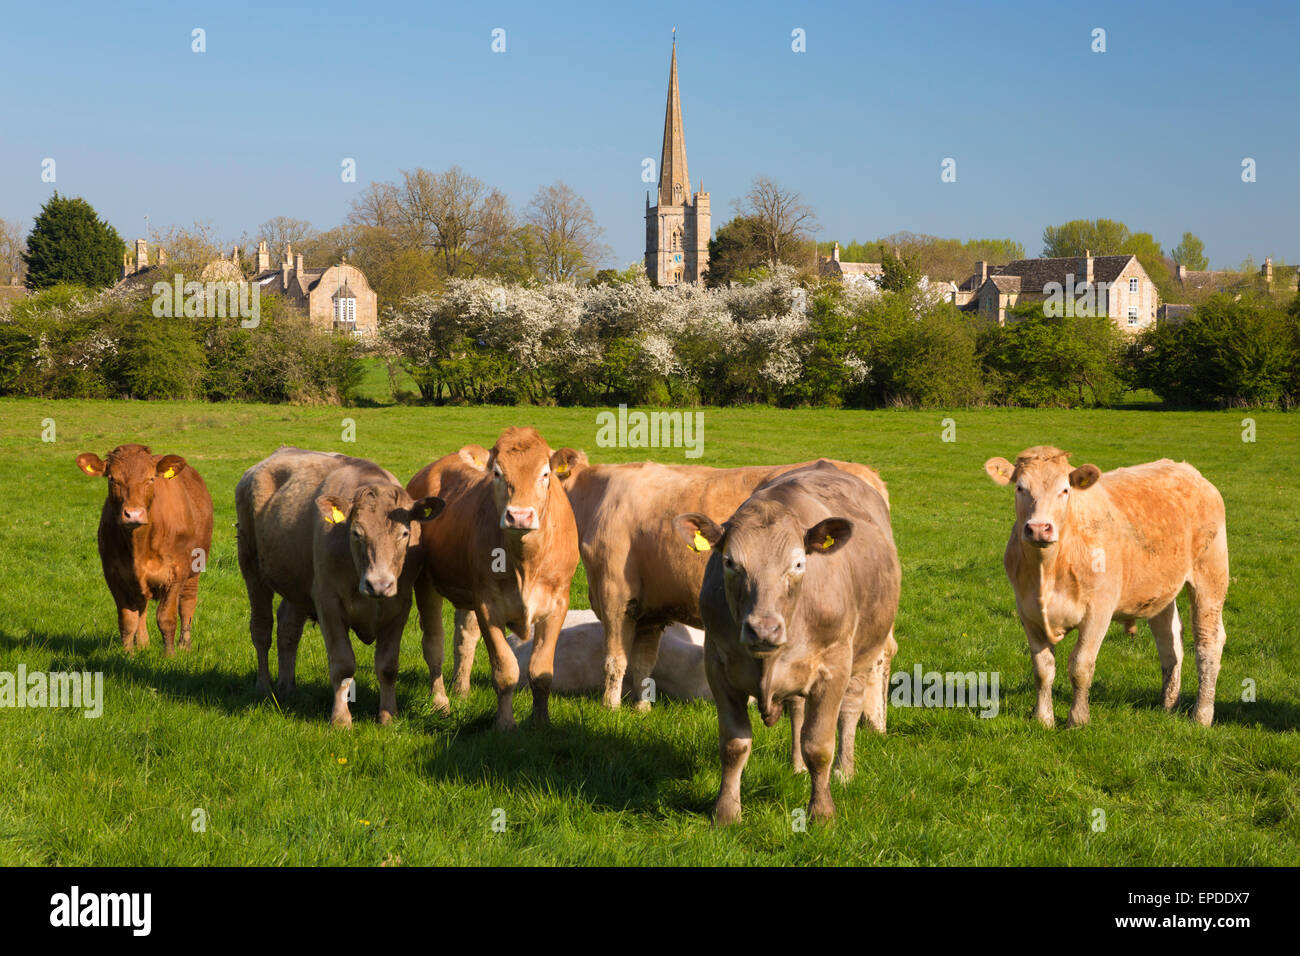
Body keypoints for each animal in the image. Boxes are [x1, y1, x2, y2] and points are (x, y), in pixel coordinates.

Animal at [76, 442, 213, 655]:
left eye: (150, 479)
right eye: (112, 478)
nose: (133, 514)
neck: (139, 546)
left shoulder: (177, 571)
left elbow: (166, 618)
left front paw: (169, 655)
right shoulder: (114, 574)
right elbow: (127, 619)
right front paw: (128, 654)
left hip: (196, 566)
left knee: (187, 603)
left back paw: (184, 645)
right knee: (142, 606)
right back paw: (142, 643)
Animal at [239, 447, 447, 723]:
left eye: (404, 534)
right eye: (357, 533)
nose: (378, 584)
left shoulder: (399, 606)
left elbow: (388, 666)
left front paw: (388, 715)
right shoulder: (328, 602)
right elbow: (343, 664)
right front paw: (340, 719)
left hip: (297, 583)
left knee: (288, 628)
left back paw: (287, 687)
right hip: (251, 565)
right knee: (261, 629)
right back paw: (264, 686)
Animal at [405, 429, 579, 733]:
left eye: (545, 473)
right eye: (497, 473)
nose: (519, 516)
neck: (526, 563)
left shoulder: (558, 603)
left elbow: (541, 670)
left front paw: (541, 721)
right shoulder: (488, 604)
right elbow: (505, 670)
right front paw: (505, 724)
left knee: (464, 636)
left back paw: (461, 691)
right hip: (425, 581)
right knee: (434, 643)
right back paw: (440, 702)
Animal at [676, 463, 899, 822]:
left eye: (797, 564)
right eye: (730, 562)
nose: (763, 630)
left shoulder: (833, 667)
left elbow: (818, 746)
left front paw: (822, 813)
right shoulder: (718, 664)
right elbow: (734, 745)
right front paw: (727, 812)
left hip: (865, 653)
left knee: (850, 712)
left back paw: (844, 771)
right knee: (796, 710)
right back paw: (796, 767)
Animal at [982, 447, 1227, 723]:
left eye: (1064, 489)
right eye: (1020, 488)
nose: (1038, 528)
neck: (1048, 569)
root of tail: (1187, 470)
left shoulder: (1098, 611)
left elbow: (1080, 665)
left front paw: (1078, 719)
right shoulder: (1028, 613)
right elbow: (1042, 669)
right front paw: (1043, 719)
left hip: (1211, 575)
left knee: (1208, 642)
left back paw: (1202, 716)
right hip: (1160, 589)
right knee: (1170, 642)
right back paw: (1168, 706)